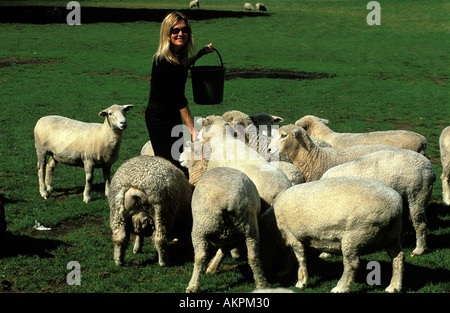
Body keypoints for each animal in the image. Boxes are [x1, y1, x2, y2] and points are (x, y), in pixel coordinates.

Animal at [274, 176, 404, 292]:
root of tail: (395, 206)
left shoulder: (292, 236)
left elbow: (300, 258)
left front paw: (302, 282)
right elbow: (292, 256)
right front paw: (285, 272)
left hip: (354, 236)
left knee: (352, 264)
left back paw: (341, 288)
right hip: (391, 236)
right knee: (398, 256)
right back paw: (394, 287)